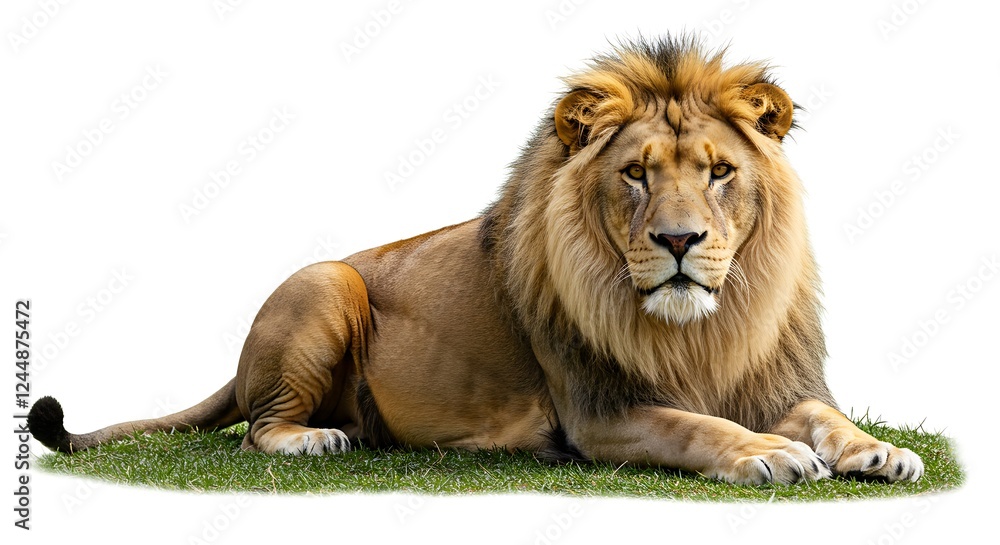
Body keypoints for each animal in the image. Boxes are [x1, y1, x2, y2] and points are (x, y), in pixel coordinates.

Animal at [30, 36, 924, 485]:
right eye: (636, 175)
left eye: (719, 172)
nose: (678, 242)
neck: (705, 328)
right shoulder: (599, 412)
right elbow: (695, 424)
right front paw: (767, 452)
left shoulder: (772, 377)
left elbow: (824, 415)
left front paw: (875, 447)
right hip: (325, 282)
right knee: (255, 429)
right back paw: (316, 440)